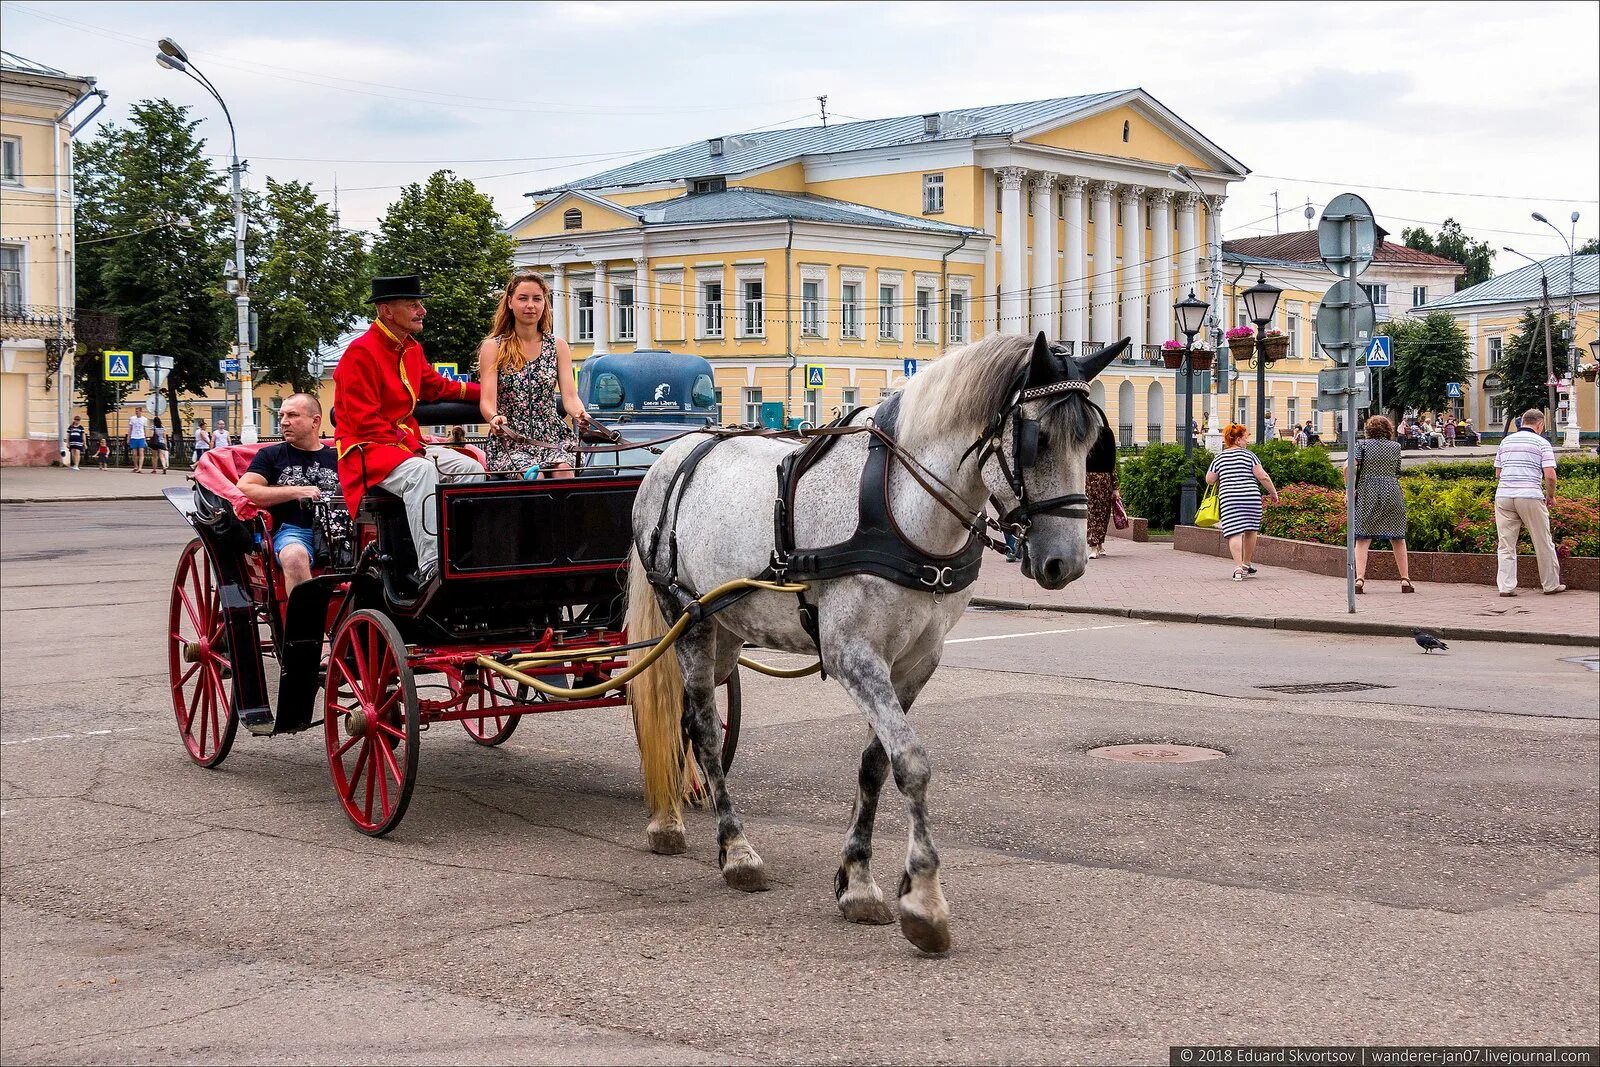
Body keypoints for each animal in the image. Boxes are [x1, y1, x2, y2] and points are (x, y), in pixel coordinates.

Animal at [624, 331, 1126, 953]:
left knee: (682, 716)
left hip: (723, 633)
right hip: (685, 617)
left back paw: (672, 816)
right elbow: (911, 761)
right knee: (702, 729)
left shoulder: (914, 662)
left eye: (1093, 442)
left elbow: (875, 764)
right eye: (1039, 440)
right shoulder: (853, 657)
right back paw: (732, 849)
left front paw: (857, 880)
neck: (900, 507)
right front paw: (925, 899)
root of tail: (675, 453)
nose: (1068, 564)